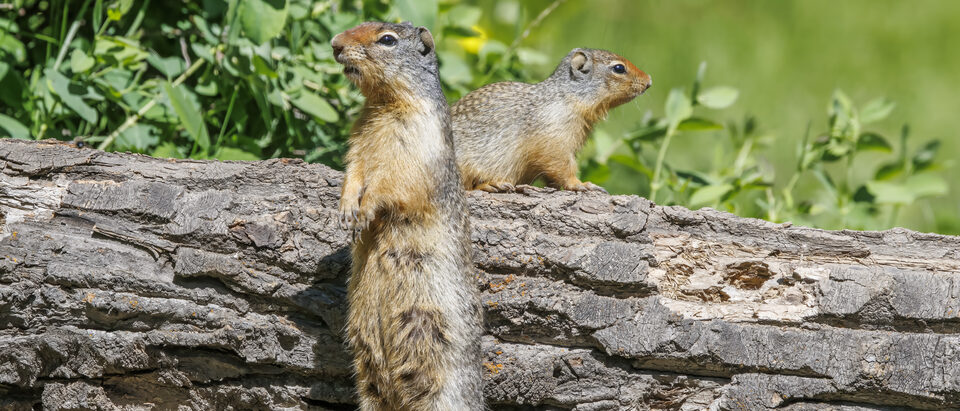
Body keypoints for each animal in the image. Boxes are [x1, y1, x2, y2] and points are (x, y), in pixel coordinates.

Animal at [330, 22, 483, 410]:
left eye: (387, 39)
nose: (335, 44)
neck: (383, 104)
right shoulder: (358, 139)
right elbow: (354, 171)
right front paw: (346, 209)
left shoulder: (416, 140)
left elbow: (393, 182)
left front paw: (364, 211)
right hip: (368, 367)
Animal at [451, 48, 652, 192]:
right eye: (619, 68)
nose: (649, 81)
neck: (567, 97)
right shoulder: (554, 137)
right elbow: (562, 165)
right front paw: (583, 184)